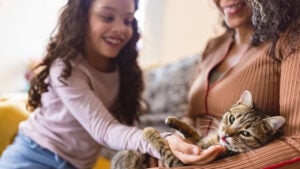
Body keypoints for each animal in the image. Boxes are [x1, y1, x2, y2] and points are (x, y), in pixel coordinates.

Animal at [110, 90, 286, 168]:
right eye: (232, 119)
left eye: (245, 133)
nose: (226, 135)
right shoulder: (196, 139)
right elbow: (192, 131)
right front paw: (173, 120)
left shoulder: (178, 163)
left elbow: (163, 146)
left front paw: (149, 131)